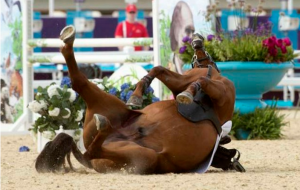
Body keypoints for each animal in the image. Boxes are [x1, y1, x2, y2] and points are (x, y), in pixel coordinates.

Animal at [34, 26, 244, 174]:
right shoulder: (192, 83)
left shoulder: (219, 93)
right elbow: (161, 70)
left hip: (144, 156)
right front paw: (137, 95)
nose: (197, 40)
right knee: (80, 87)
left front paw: (187, 93)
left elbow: (196, 81)